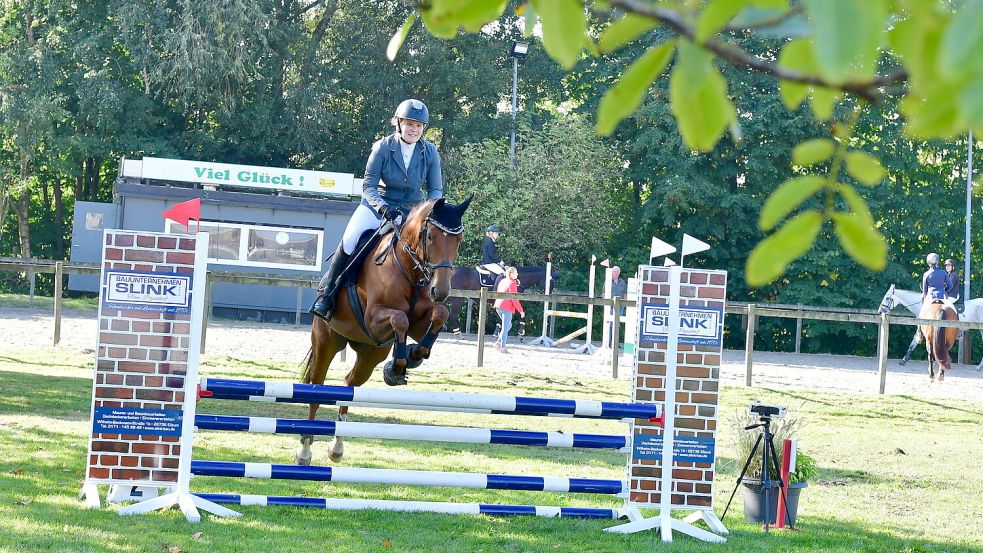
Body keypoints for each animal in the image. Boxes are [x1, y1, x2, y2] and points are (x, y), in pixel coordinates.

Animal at [296, 196, 472, 464]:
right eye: (431, 237)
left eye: (458, 240)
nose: (440, 291)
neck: (409, 270)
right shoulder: (373, 320)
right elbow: (400, 319)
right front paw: (399, 364)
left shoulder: (418, 323)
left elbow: (438, 315)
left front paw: (413, 355)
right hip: (326, 341)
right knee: (317, 387)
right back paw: (305, 450)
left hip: (370, 354)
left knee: (349, 384)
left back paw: (337, 447)